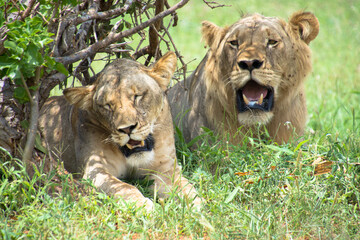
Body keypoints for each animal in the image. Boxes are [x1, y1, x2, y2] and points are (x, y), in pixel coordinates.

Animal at [39, 52, 202, 210]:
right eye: (107, 105)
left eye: (137, 96)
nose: (127, 128)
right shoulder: (96, 170)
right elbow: (124, 187)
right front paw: (143, 206)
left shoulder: (165, 169)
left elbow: (186, 188)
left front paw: (195, 205)